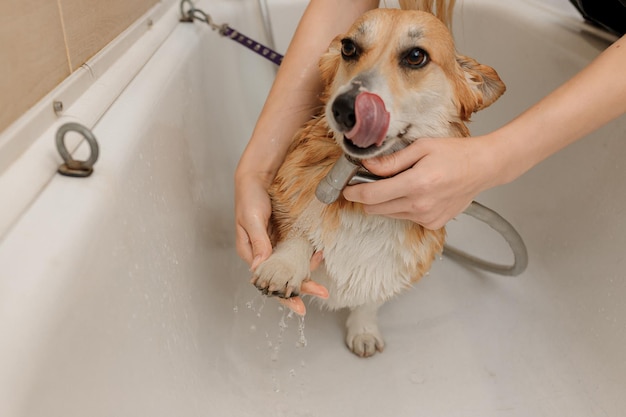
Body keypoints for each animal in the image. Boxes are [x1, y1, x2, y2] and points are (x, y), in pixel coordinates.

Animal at [249, 8, 502, 356]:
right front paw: (284, 267)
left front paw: (364, 331)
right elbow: (300, 230)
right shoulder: (291, 191)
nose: (344, 108)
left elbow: (368, 301)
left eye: (416, 56)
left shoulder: (393, 270)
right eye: (348, 48)